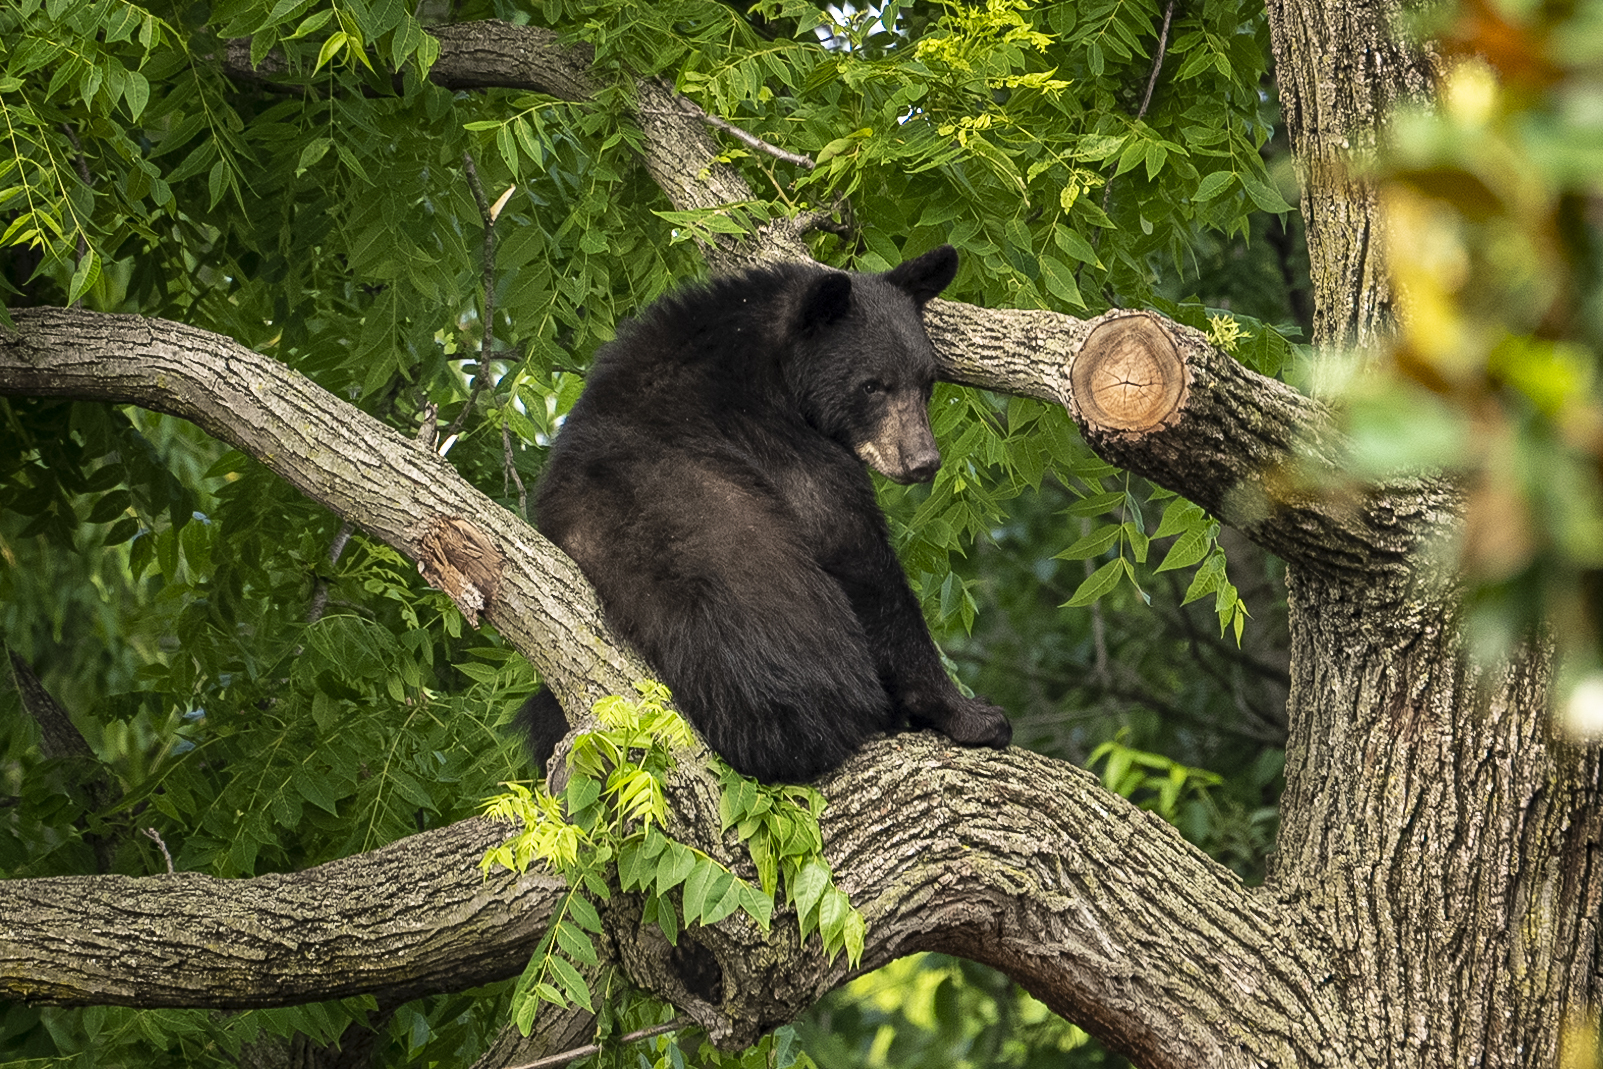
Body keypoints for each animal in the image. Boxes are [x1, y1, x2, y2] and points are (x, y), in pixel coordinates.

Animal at [523, 245, 1012, 783]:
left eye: (925, 384)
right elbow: (859, 560)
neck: (767, 366)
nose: (922, 460)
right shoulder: (780, 445)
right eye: (872, 386)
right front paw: (973, 715)